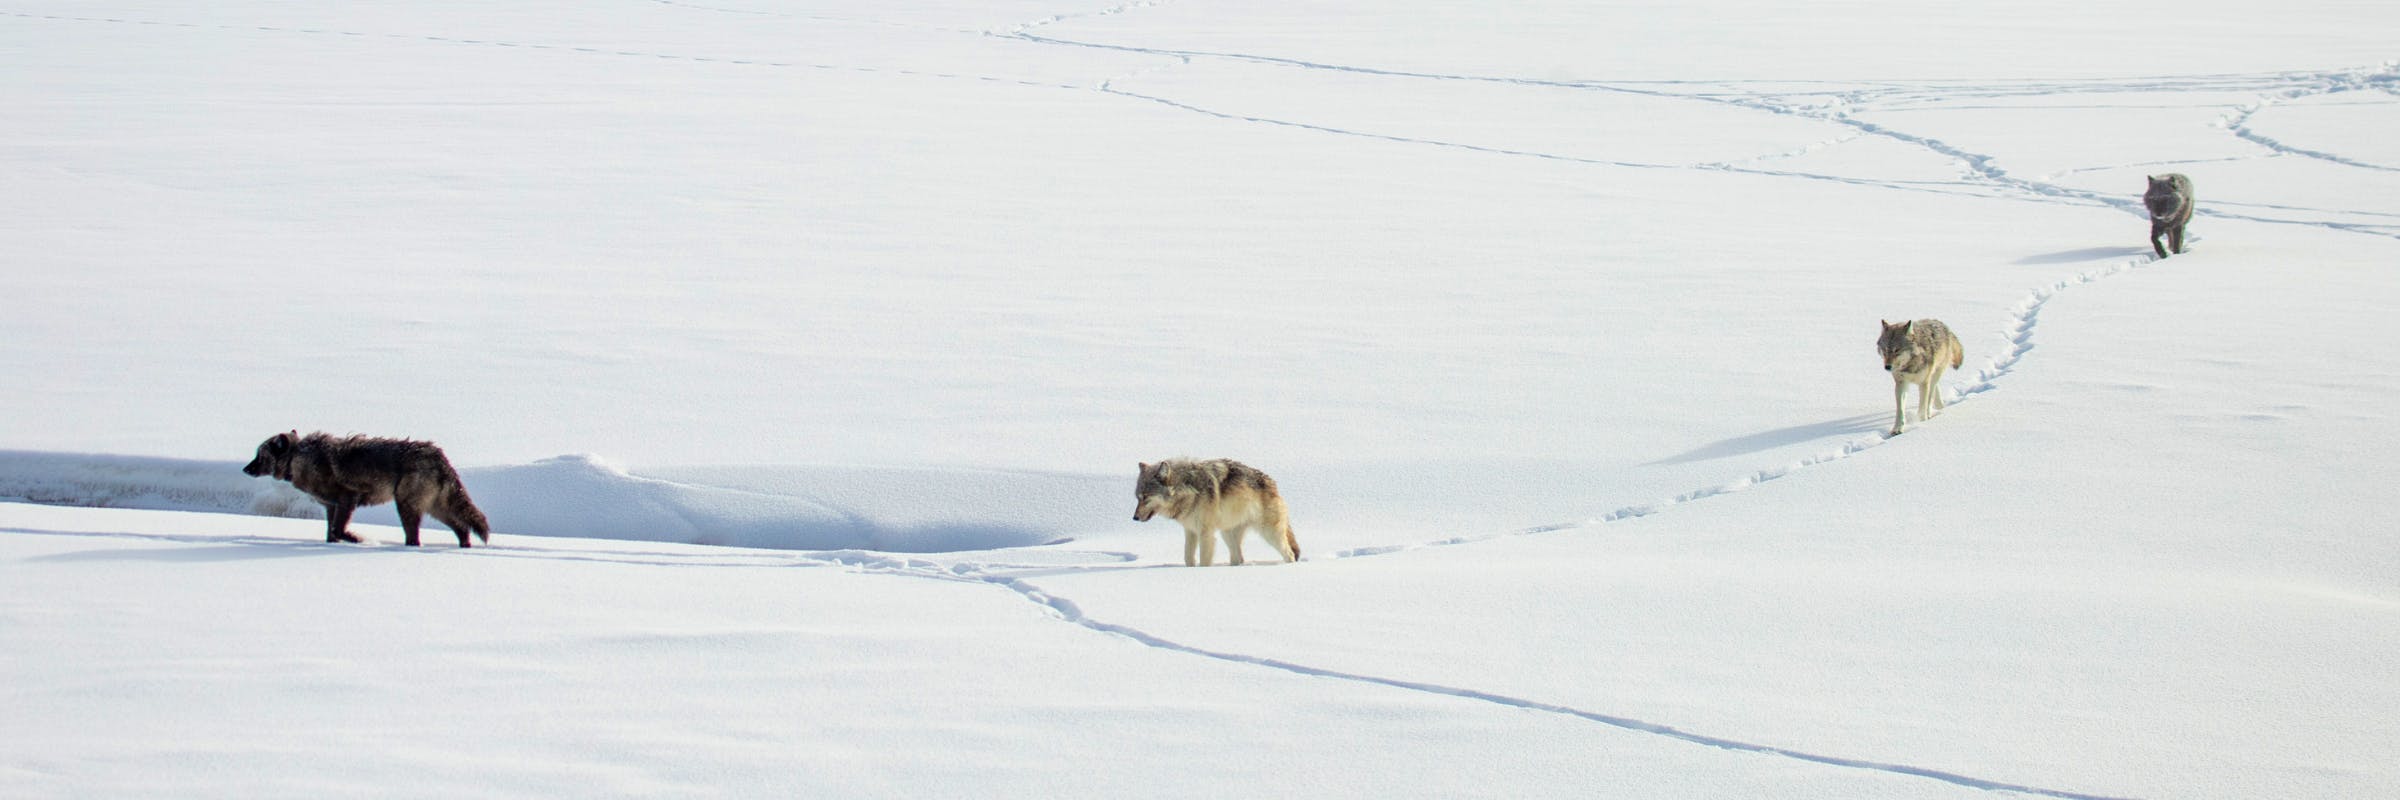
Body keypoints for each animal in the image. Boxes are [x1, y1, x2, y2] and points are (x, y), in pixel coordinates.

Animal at [242, 431, 491, 547]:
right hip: (433, 508)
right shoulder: (331, 506)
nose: (245, 469)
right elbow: (331, 533)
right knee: (462, 528)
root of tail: (439, 456)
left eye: (259, 456)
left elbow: (339, 530)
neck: (298, 458)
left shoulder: (347, 499)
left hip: (409, 506)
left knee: (416, 537)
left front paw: (360, 540)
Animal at [1133, 458, 1300, 566]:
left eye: (1146, 497)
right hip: (1227, 535)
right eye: (1138, 497)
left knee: (1290, 554)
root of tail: (1274, 485)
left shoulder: (1206, 534)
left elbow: (1204, 561)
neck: (1187, 489)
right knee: (1239, 559)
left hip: (1270, 534)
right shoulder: (1190, 531)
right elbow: (1188, 557)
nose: (1134, 518)